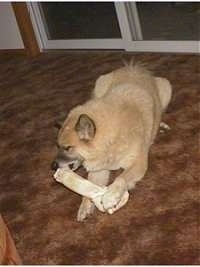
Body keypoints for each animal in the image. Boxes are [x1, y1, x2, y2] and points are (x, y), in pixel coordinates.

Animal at [51, 62, 172, 222]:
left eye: (68, 148)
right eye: (58, 146)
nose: (53, 166)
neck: (110, 139)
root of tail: (133, 67)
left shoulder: (138, 164)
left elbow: (121, 178)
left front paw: (110, 197)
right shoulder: (99, 171)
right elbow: (90, 186)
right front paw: (85, 205)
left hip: (167, 87)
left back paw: (162, 125)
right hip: (99, 85)